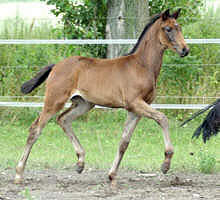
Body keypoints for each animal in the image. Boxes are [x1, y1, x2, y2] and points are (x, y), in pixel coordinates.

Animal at [14, 8, 189, 187]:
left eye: (179, 27)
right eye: (168, 29)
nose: (185, 50)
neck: (142, 66)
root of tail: (56, 66)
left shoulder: (135, 110)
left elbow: (124, 142)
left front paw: (112, 175)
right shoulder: (135, 103)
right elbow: (162, 118)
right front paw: (166, 163)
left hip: (84, 104)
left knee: (63, 119)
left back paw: (80, 162)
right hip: (54, 101)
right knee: (35, 129)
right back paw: (19, 174)